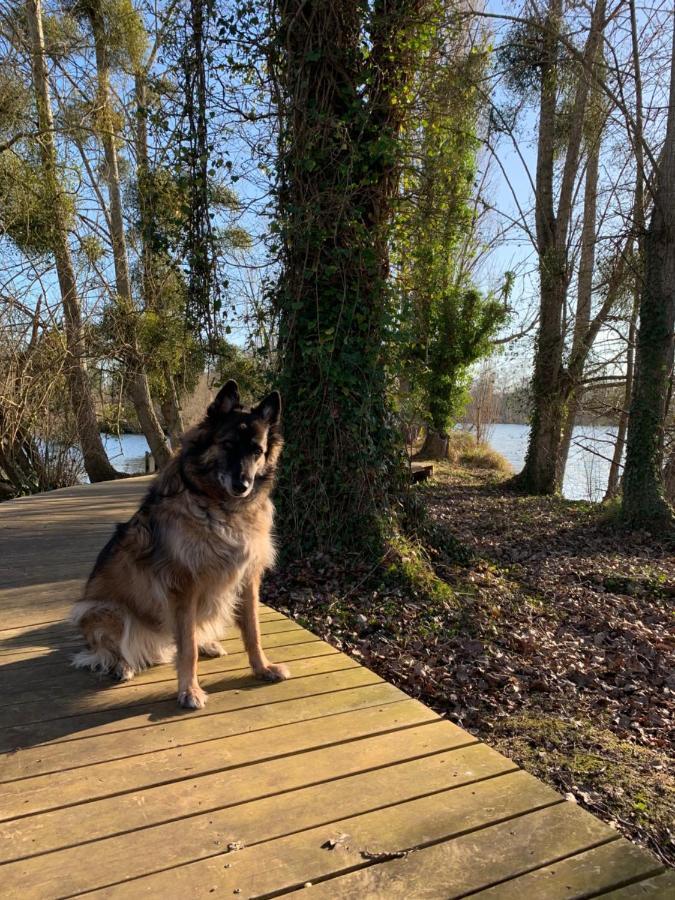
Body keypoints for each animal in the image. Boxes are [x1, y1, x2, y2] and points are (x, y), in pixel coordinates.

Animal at [71, 380, 288, 712]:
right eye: (227, 444)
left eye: (257, 451)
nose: (243, 485)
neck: (219, 506)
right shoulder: (183, 587)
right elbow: (187, 649)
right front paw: (190, 691)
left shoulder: (248, 580)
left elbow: (253, 631)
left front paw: (262, 668)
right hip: (105, 610)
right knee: (109, 649)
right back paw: (123, 665)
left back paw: (207, 643)